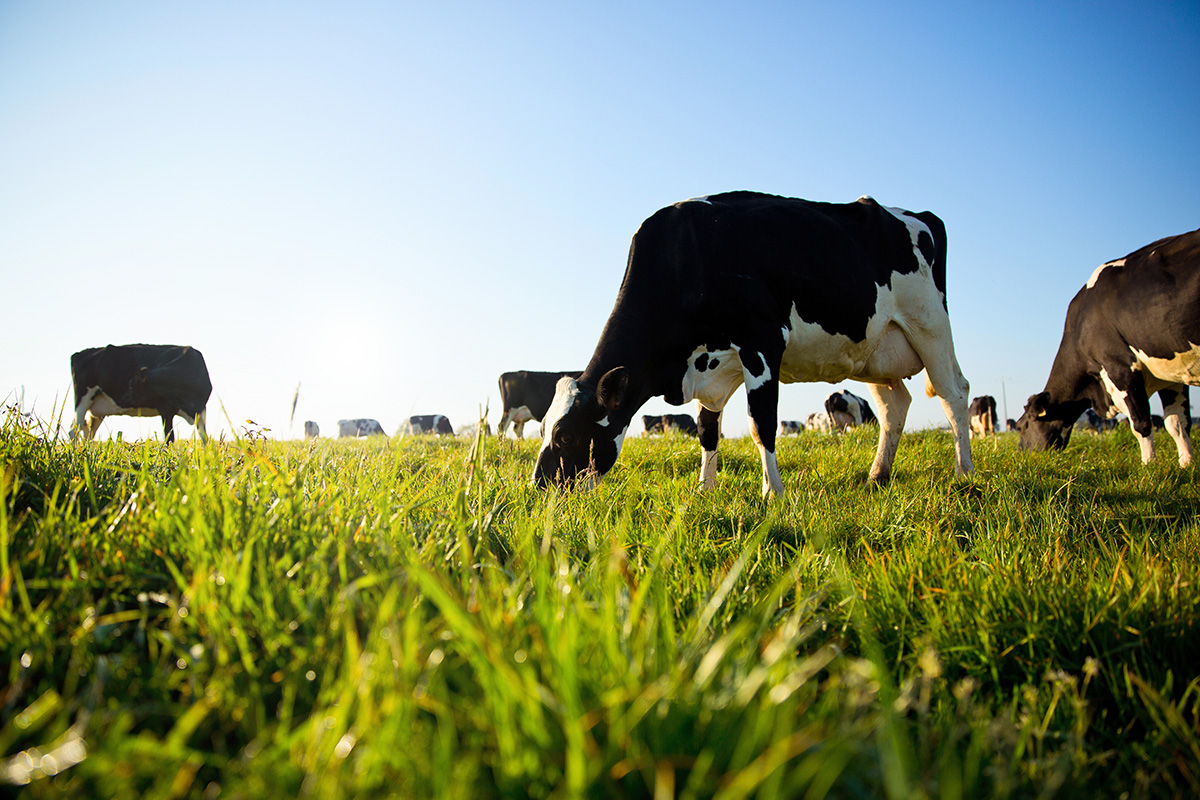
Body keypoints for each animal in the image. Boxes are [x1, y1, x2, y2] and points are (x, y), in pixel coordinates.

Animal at [71, 345, 211, 443]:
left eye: (133, 385)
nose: (122, 400)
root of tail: (79, 353)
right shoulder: (166, 409)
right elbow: (169, 438)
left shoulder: (201, 409)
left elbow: (204, 438)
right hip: (82, 400)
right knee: (74, 430)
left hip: (96, 412)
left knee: (88, 432)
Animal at [535, 191, 974, 494]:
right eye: (544, 428)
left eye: (566, 435)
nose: (538, 487)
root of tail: (917, 215)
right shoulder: (708, 365)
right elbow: (707, 429)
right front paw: (705, 490)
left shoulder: (761, 342)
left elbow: (761, 423)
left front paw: (772, 493)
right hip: (874, 351)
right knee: (893, 407)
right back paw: (877, 476)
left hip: (930, 324)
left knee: (954, 393)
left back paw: (964, 473)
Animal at [1012, 226, 1200, 462]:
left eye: (1021, 426)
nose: (1020, 455)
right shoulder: (1171, 376)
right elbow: (1178, 424)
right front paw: (1187, 464)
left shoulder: (1121, 368)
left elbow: (1141, 424)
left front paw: (1149, 465)